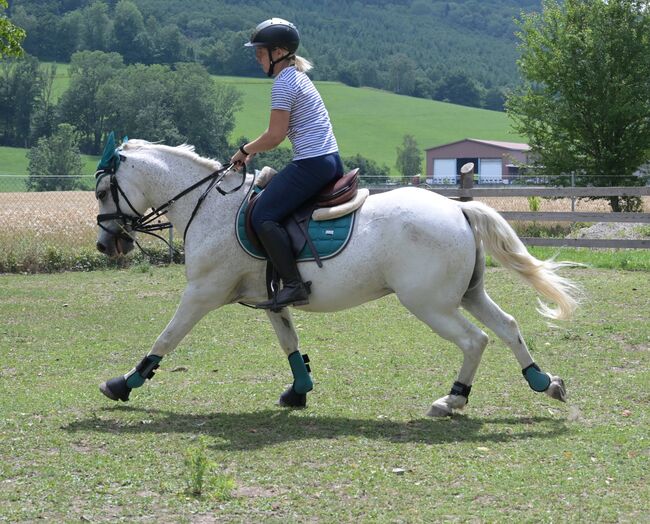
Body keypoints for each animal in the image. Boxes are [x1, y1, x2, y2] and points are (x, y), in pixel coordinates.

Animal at [92, 137, 576, 416]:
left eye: (100, 191)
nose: (105, 245)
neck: (210, 206)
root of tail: (458, 208)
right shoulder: (271, 298)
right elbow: (289, 342)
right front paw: (298, 391)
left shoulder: (202, 293)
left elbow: (165, 339)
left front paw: (122, 384)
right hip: (467, 294)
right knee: (508, 327)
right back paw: (544, 382)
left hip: (430, 303)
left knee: (475, 340)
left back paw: (453, 398)